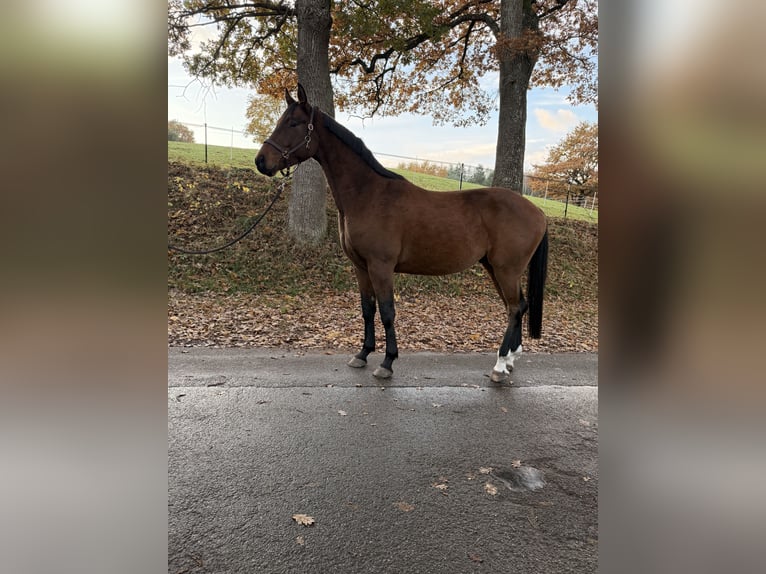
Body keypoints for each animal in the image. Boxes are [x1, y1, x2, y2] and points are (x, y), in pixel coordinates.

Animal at [256, 84, 548, 383]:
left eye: (293, 123)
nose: (261, 161)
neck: (368, 194)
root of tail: (537, 211)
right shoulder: (361, 267)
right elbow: (367, 309)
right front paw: (363, 354)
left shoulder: (381, 266)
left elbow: (387, 312)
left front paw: (387, 362)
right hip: (494, 268)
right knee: (518, 307)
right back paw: (510, 359)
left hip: (506, 270)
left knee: (514, 308)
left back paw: (500, 365)